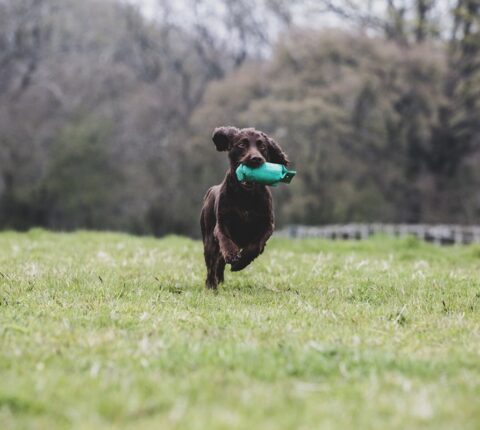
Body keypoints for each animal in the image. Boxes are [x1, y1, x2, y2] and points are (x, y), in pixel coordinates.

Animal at [201, 127, 290, 288]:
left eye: (262, 146)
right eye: (242, 145)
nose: (256, 159)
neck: (246, 196)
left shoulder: (267, 225)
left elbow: (255, 245)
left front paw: (241, 262)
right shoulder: (221, 224)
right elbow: (225, 239)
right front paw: (232, 255)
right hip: (208, 240)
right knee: (211, 265)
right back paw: (211, 285)